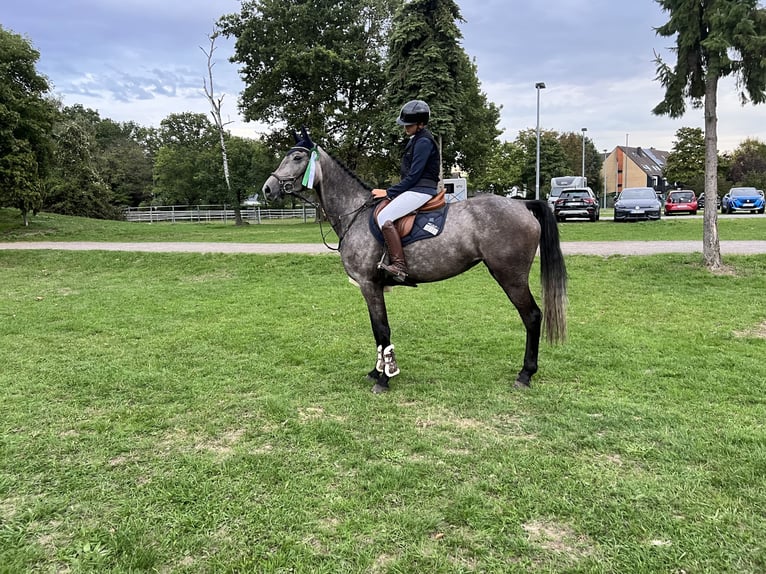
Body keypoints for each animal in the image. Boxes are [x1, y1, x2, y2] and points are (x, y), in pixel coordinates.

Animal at [263, 128, 568, 393]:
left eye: (297, 157)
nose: (268, 189)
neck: (355, 213)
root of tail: (522, 204)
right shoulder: (371, 287)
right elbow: (377, 332)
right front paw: (376, 371)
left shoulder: (369, 285)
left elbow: (382, 330)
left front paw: (384, 379)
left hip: (510, 276)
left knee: (532, 316)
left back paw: (525, 374)